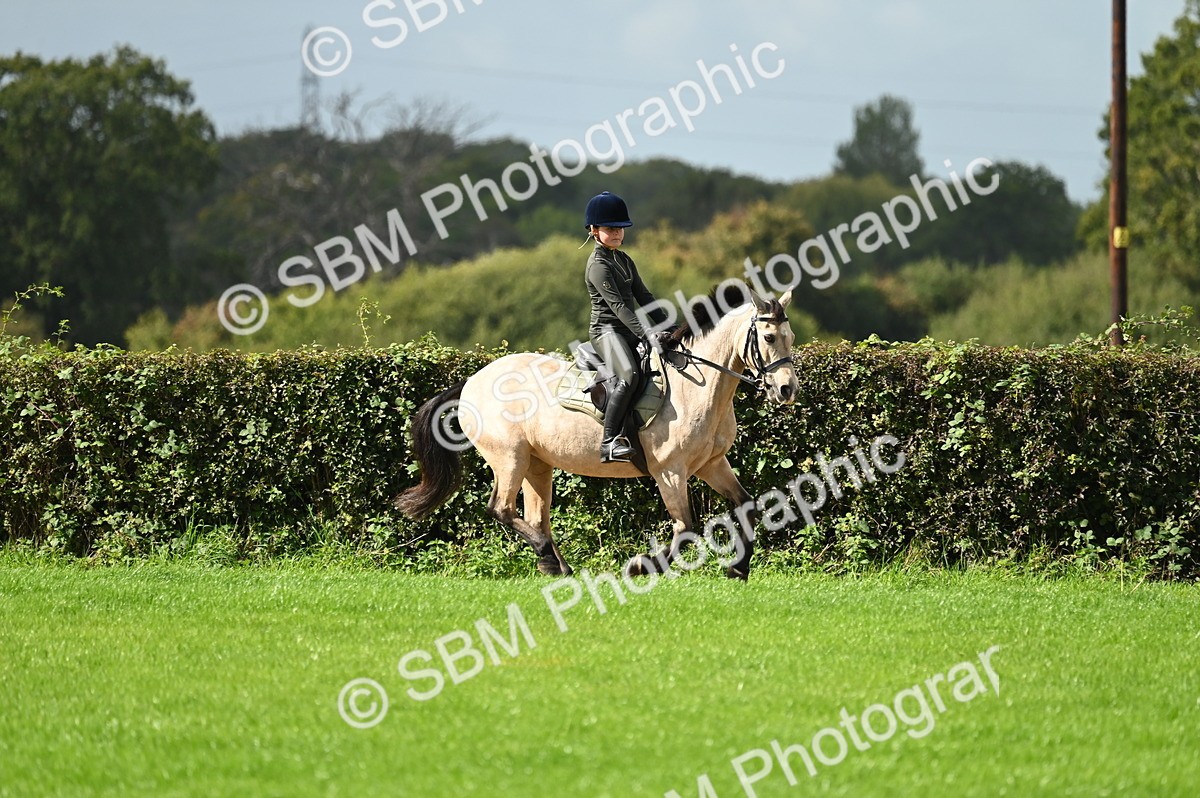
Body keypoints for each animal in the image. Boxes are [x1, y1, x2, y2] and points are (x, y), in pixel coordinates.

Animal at [395, 285, 799, 580]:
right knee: (501, 509)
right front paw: (641, 566)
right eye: (767, 338)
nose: (787, 390)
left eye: (791, 336)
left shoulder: (711, 463)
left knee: (535, 517)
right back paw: (549, 557)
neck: (698, 386)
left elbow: (745, 505)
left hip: (537, 464)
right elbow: (686, 527)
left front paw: (739, 568)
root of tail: (471, 382)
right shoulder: (670, 472)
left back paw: (554, 564)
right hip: (509, 458)